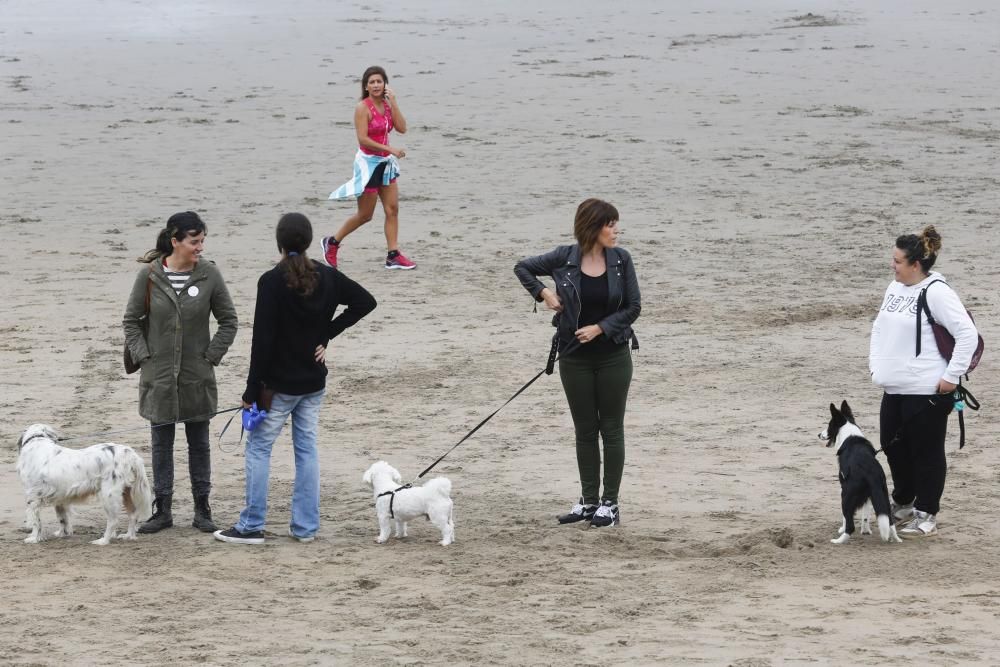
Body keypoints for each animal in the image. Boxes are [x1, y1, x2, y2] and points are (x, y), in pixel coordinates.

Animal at [16, 426, 153, 544]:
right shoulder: (60, 498)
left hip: (108, 495)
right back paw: (129, 536)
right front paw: (63, 533)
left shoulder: (33, 497)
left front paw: (34, 538)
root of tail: (129, 453)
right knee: (133, 515)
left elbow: (36, 522)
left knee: (113, 521)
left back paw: (103, 541)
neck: (37, 440)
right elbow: (62, 518)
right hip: (126, 492)